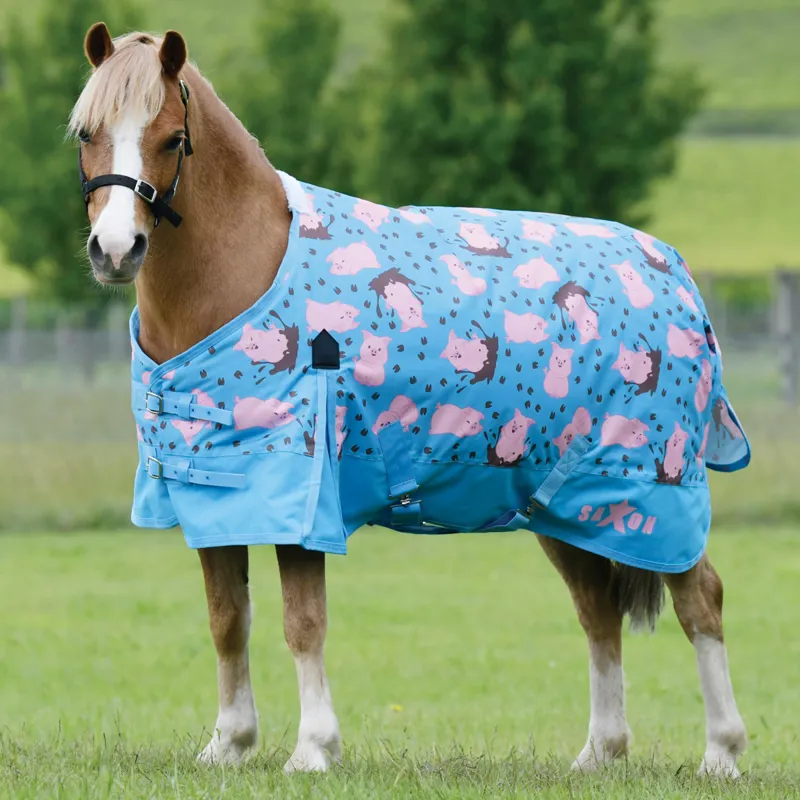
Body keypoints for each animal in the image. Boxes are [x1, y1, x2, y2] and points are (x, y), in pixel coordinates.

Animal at [69, 23, 749, 776]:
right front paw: (229, 743)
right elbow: (227, 621)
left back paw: (721, 752)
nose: (116, 250)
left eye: (170, 140)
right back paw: (600, 753)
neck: (243, 273)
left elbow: (302, 622)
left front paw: (313, 748)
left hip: (651, 493)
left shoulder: (304, 496)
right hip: (563, 502)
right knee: (597, 610)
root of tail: (675, 272)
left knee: (701, 598)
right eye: (87, 133)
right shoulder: (213, 492)